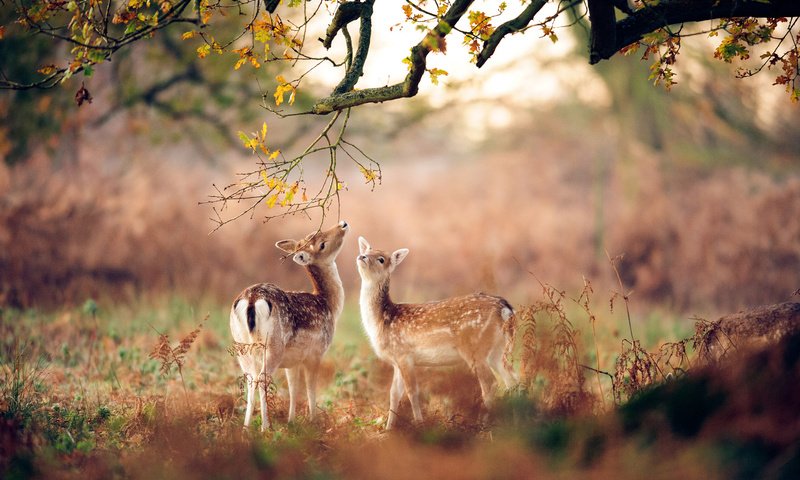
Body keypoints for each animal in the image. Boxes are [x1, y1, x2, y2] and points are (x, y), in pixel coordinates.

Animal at [228, 221, 346, 432]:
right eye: (322, 244)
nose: (342, 224)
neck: (329, 305)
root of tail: (251, 300)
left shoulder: (293, 361)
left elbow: (293, 387)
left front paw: (291, 421)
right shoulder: (316, 353)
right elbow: (310, 387)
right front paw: (313, 421)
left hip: (242, 346)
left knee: (250, 379)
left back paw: (246, 428)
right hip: (273, 345)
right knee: (262, 378)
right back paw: (265, 427)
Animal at [354, 235, 516, 428]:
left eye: (381, 259)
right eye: (366, 250)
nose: (362, 256)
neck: (383, 320)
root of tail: (505, 309)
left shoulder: (404, 354)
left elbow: (412, 392)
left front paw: (419, 424)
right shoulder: (396, 361)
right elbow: (394, 394)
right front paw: (388, 428)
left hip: (474, 347)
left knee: (491, 383)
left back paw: (484, 424)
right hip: (497, 349)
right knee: (511, 378)